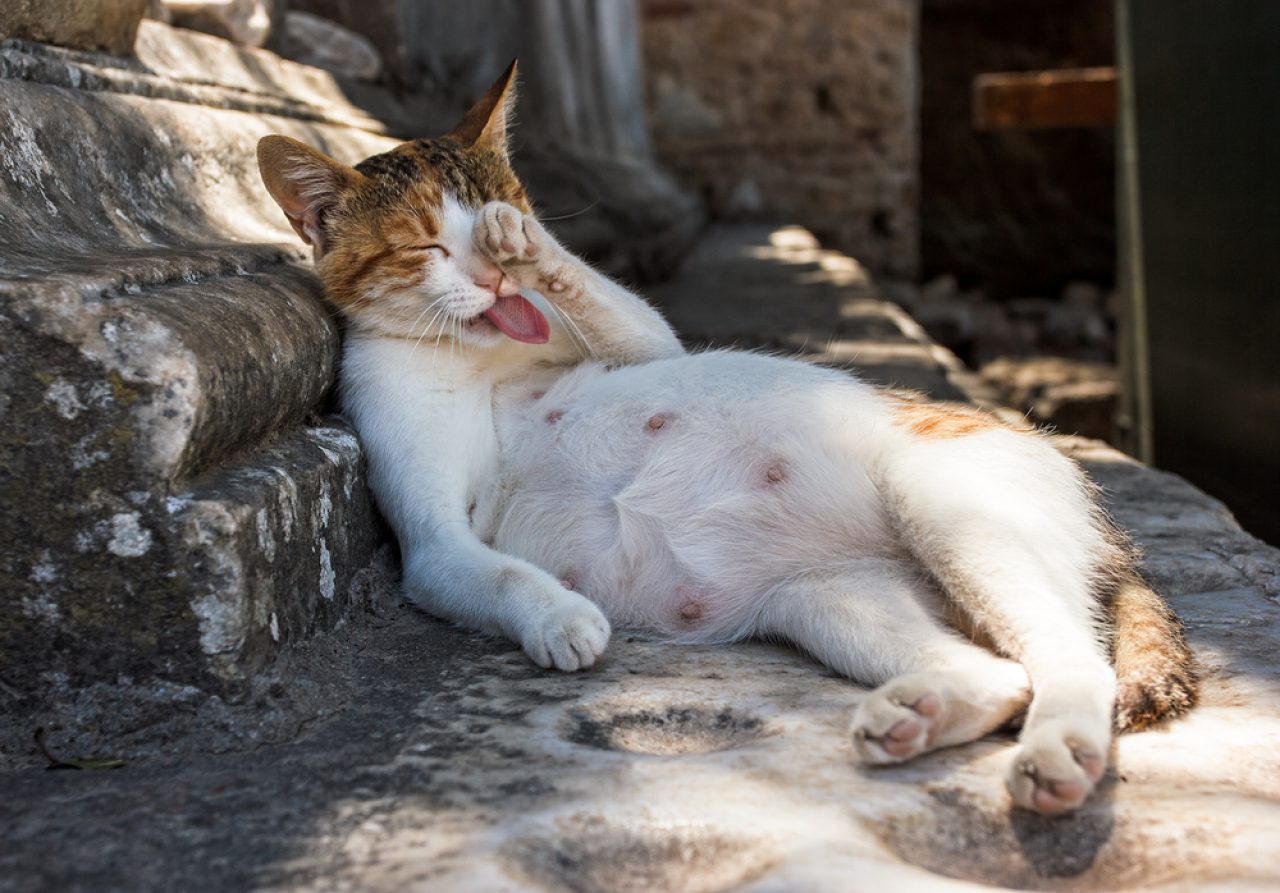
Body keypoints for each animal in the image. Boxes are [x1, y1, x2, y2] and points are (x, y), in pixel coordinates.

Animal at [254, 62, 1192, 813]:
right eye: (423, 247)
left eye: (502, 204)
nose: (493, 274)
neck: (475, 358)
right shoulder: (434, 542)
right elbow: (497, 570)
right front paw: (560, 616)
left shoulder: (647, 343)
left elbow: (621, 308)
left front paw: (533, 248)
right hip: (833, 597)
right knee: (1008, 673)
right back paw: (922, 719)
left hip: (948, 510)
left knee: (1073, 658)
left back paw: (1055, 751)